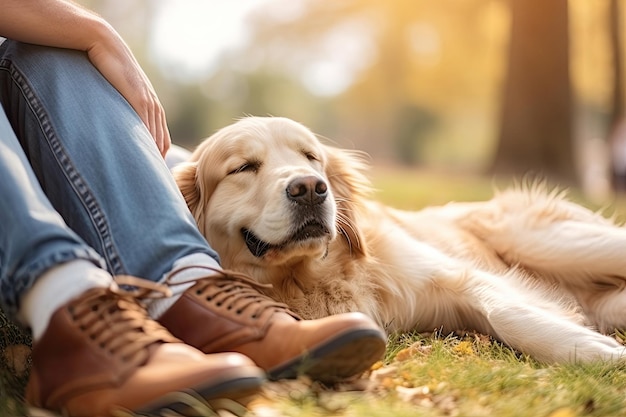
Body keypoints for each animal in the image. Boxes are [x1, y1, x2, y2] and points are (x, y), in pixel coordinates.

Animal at [172, 115, 626, 362]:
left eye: (311, 157)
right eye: (244, 167)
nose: (311, 189)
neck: (309, 275)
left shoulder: (456, 275)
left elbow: (507, 312)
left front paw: (594, 351)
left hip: (554, 242)